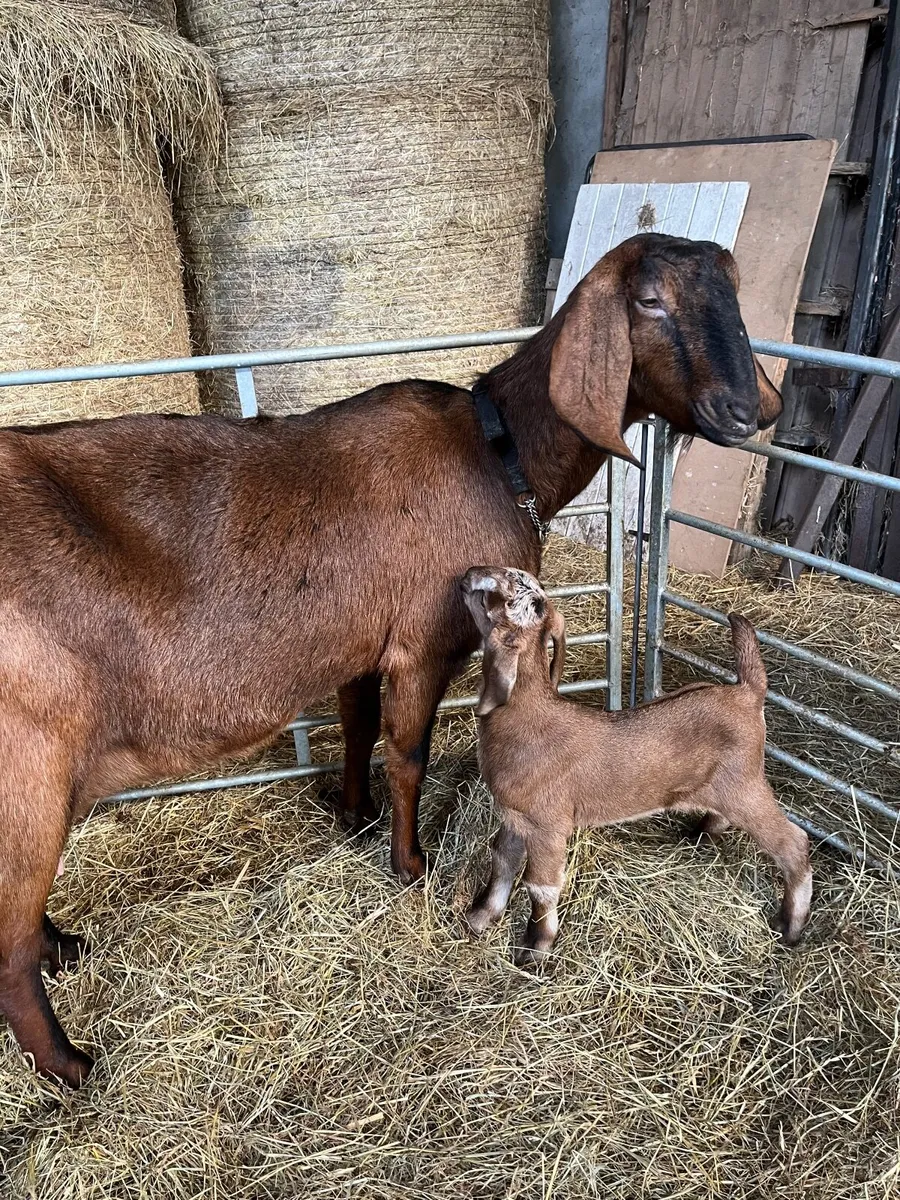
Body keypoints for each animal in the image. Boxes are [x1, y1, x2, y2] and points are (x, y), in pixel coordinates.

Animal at [461, 566, 812, 966]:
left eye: (504, 592)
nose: (467, 575)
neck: (525, 714)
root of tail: (747, 693)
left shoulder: (547, 823)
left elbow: (541, 886)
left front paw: (536, 948)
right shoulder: (514, 816)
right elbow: (502, 860)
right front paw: (480, 916)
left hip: (745, 785)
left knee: (793, 843)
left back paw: (791, 925)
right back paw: (699, 834)